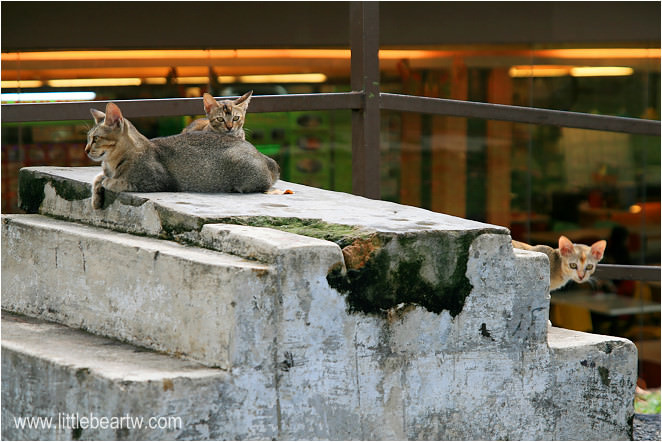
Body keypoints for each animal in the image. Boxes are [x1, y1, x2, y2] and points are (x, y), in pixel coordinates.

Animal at [85, 102, 280, 209]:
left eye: (96, 138)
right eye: (88, 138)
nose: (86, 149)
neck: (111, 163)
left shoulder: (157, 181)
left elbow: (115, 181)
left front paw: (107, 182)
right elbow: (97, 178)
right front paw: (96, 198)